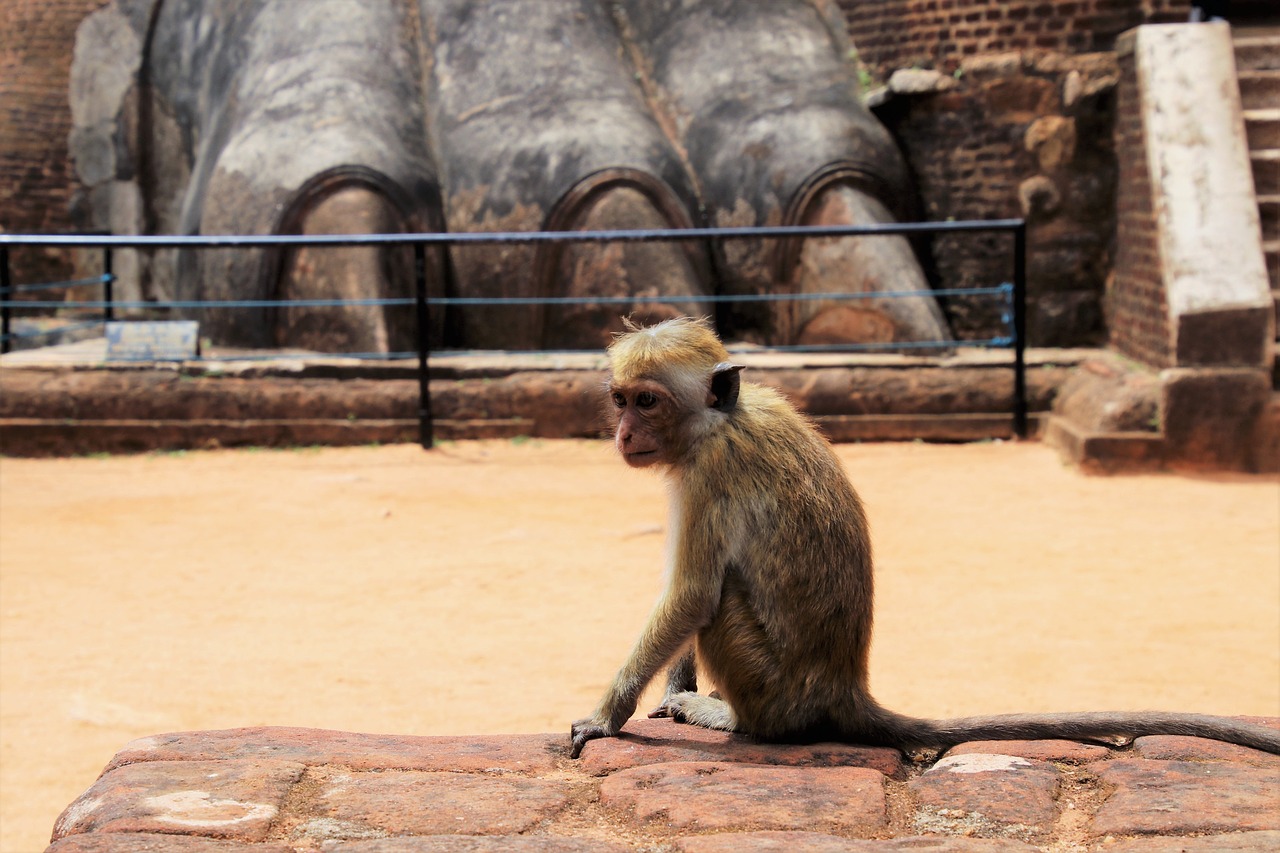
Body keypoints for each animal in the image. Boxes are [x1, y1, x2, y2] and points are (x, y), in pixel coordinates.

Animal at [570, 317, 1280, 758]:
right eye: (621, 399)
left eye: (648, 401)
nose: (623, 433)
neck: (723, 419)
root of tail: (844, 688)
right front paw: (671, 688)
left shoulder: (709, 471)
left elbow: (693, 594)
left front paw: (608, 717)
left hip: (773, 689)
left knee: (724, 613)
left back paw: (735, 722)